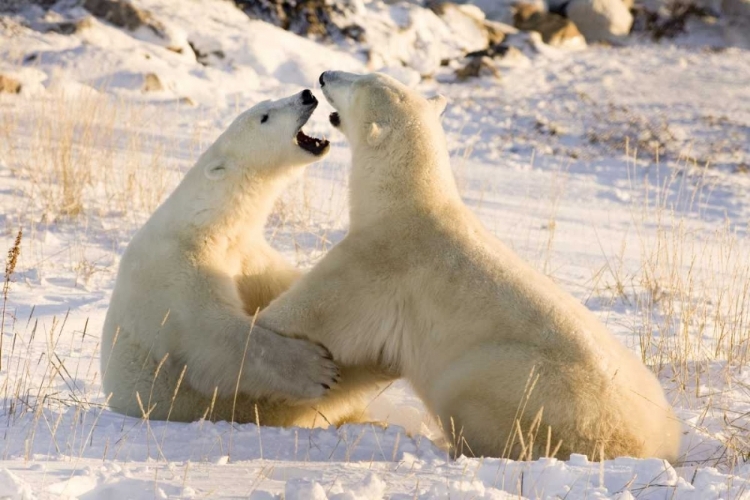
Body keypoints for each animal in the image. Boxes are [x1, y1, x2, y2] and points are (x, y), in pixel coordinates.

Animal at [100, 91, 390, 426]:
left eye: (269, 103)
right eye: (264, 117)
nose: (306, 95)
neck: (208, 223)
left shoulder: (248, 254)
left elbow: (283, 288)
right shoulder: (177, 274)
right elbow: (217, 335)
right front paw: (317, 369)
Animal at [250, 71, 684, 460]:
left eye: (358, 83)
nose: (324, 76)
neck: (405, 201)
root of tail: (651, 447)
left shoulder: (379, 264)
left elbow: (310, 312)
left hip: (517, 384)